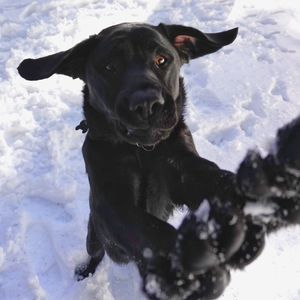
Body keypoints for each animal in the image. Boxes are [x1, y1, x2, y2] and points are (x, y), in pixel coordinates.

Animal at [17, 24, 300, 300]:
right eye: (110, 66)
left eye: (161, 59)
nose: (146, 103)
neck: (142, 151)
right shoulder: (110, 202)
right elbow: (147, 228)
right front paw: (187, 263)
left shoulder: (181, 165)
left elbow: (213, 176)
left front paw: (268, 188)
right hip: (94, 234)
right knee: (95, 253)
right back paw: (86, 272)